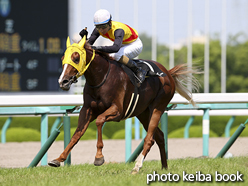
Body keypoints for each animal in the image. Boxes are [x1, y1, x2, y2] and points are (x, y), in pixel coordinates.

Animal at [48, 35, 202, 174]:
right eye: (62, 58)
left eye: (76, 58)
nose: (63, 81)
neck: (101, 77)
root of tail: (168, 73)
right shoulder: (87, 110)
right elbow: (77, 134)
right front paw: (58, 159)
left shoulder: (117, 111)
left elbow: (99, 121)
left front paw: (99, 157)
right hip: (143, 113)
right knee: (159, 136)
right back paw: (164, 167)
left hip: (158, 107)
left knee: (150, 138)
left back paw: (137, 166)